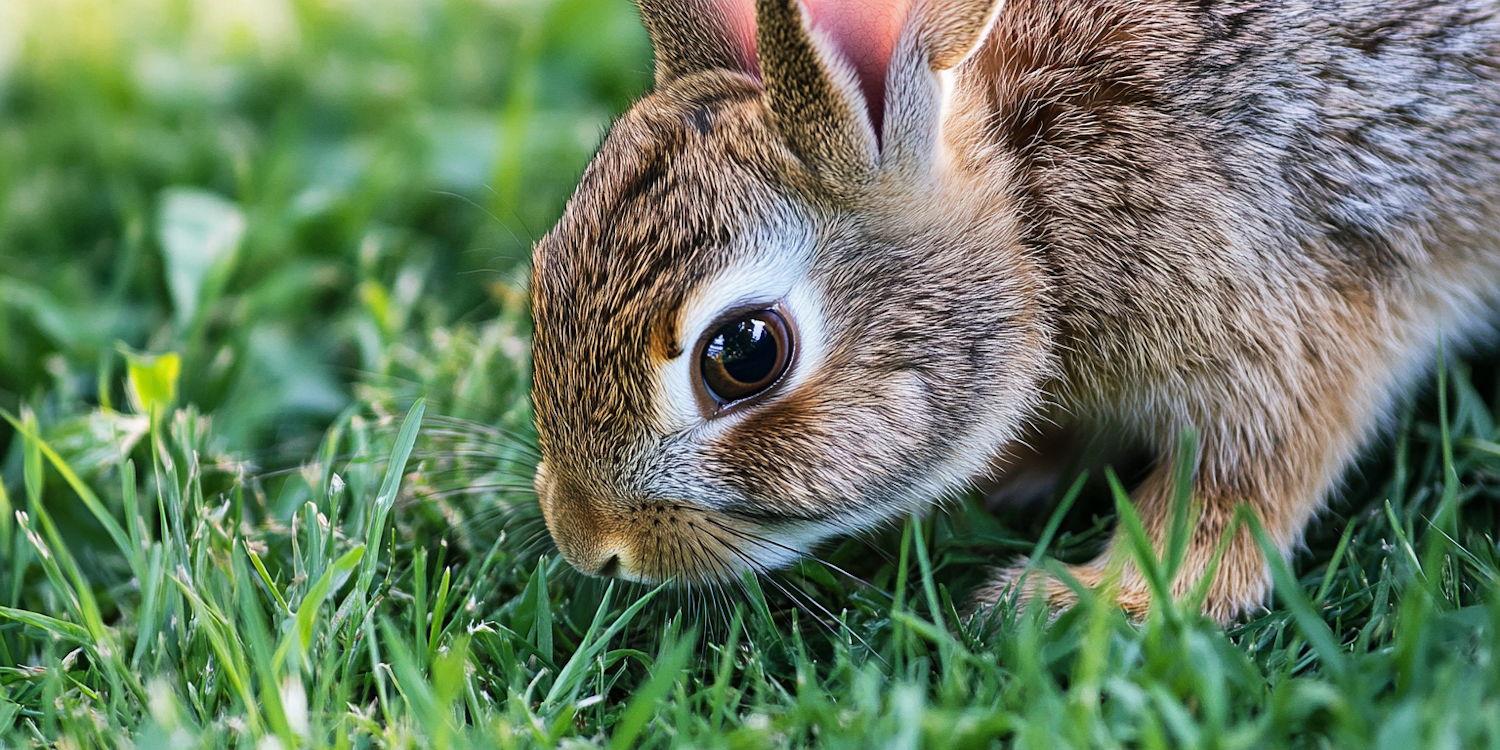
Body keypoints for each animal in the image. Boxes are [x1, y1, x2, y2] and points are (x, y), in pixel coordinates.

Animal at [525, 0, 1500, 624]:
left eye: (745, 354)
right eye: (543, 268)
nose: (588, 541)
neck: (1033, 218)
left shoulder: (1283, 322)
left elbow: (1234, 496)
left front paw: (1082, 600)